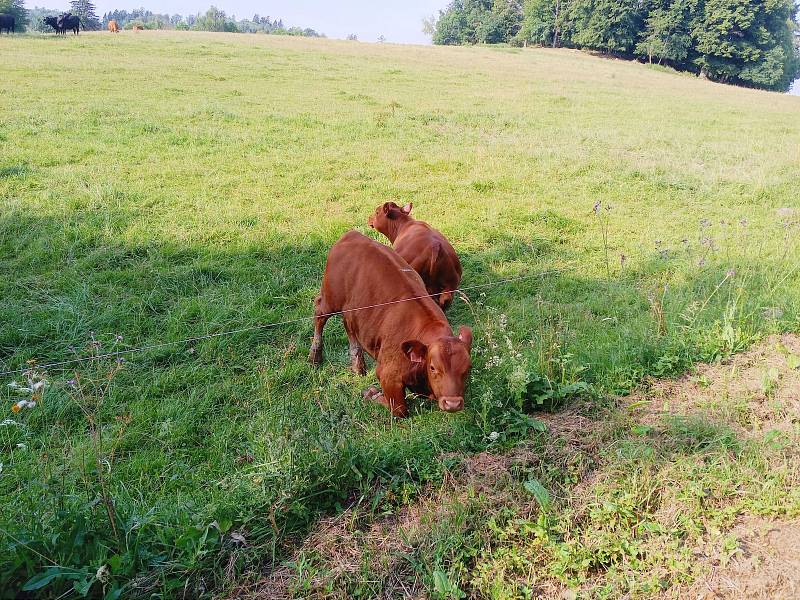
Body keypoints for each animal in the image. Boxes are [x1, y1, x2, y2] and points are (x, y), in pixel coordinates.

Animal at [304, 230, 468, 418]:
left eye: (467, 368)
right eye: (433, 367)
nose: (453, 403)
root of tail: (352, 234)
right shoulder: (388, 375)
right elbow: (399, 409)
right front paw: (372, 394)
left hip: (353, 309)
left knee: (349, 326)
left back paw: (358, 365)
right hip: (331, 298)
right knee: (319, 314)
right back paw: (315, 356)